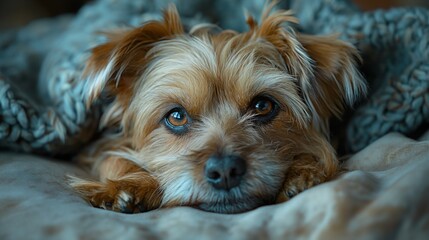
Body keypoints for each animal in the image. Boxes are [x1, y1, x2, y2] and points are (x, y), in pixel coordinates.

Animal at [68, 1, 366, 214]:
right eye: (176, 116)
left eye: (263, 105)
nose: (225, 171)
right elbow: (112, 157)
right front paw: (129, 185)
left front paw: (303, 171)